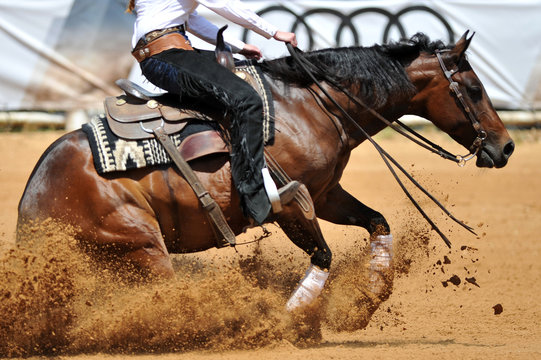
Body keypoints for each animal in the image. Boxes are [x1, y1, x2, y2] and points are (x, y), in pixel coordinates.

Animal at [16, 31, 512, 310]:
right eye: (473, 87)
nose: (505, 146)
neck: (308, 106)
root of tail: (32, 196)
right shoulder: (288, 205)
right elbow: (323, 256)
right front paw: (293, 319)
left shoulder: (327, 193)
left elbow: (377, 222)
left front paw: (372, 294)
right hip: (140, 246)